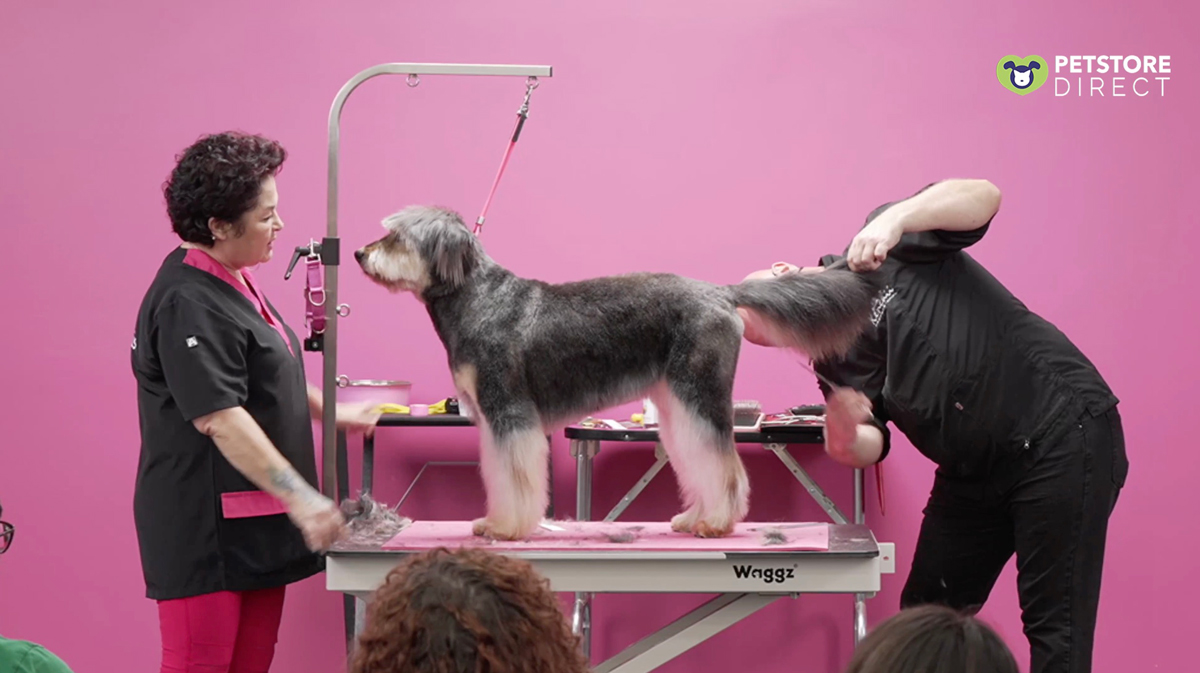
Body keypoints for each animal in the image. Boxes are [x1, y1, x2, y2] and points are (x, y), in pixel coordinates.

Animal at [354, 205, 881, 540]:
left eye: (396, 237)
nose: (359, 254)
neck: (475, 298)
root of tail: (720, 293)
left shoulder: (509, 413)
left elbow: (515, 478)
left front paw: (506, 528)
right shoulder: (492, 420)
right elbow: (500, 475)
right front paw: (495, 522)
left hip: (700, 392)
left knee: (723, 463)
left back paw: (716, 523)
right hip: (676, 407)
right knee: (701, 459)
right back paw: (695, 517)